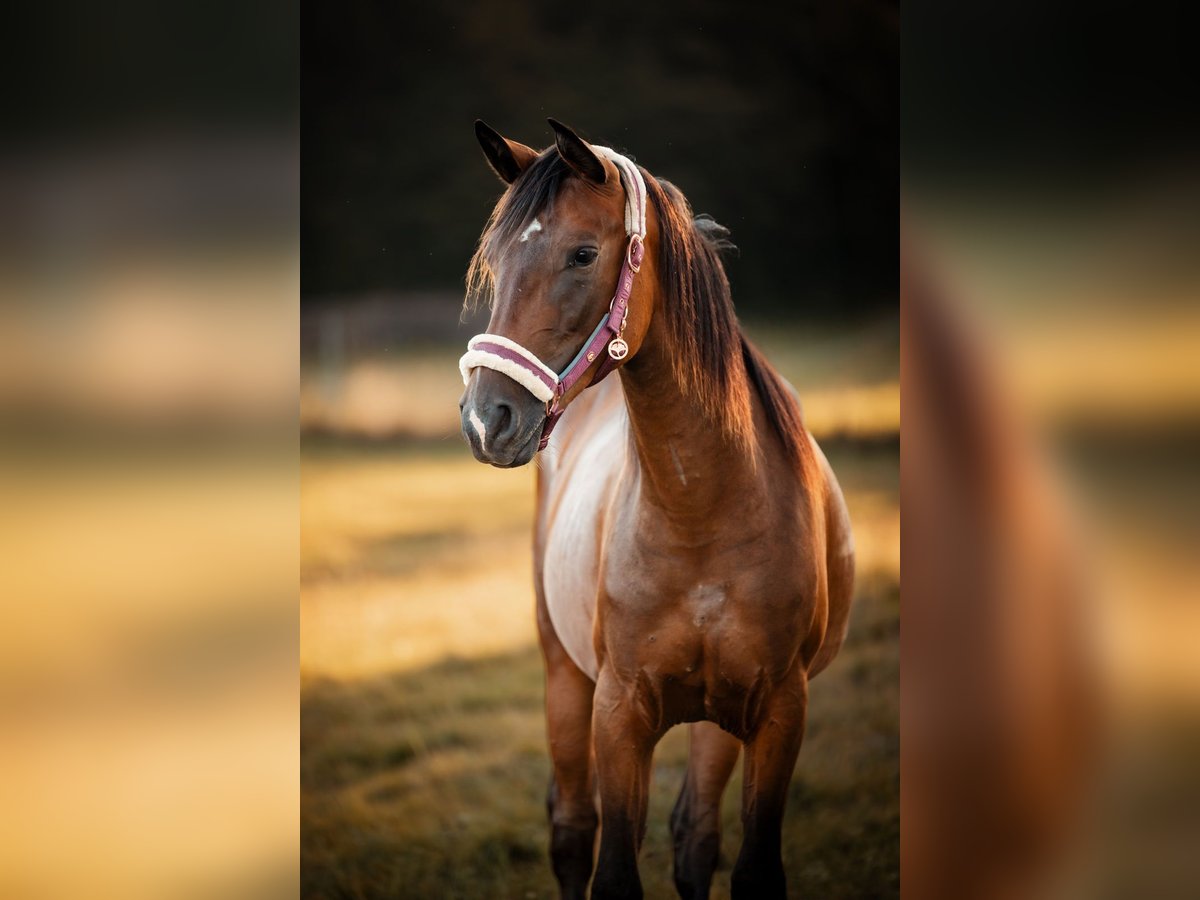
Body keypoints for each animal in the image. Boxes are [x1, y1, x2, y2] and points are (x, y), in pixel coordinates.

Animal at [456, 121, 854, 900]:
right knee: (574, 829)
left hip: (715, 718)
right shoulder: (618, 711)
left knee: (693, 835)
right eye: (495, 262)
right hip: (564, 676)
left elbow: (747, 865)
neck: (704, 507)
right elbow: (612, 869)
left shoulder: (779, 710)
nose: (488, 420)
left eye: (582, 253)